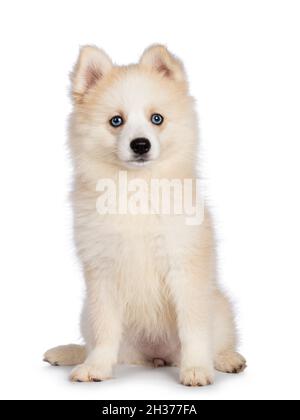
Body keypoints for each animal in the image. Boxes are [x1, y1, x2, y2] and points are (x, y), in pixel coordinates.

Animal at [44, 44, 246, 386]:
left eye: (157, 119)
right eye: (116, 121)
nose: (140, 144)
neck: (136, 188)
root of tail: (157, 355)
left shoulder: (184, 266)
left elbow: (193, 327)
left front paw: (196, 368)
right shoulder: (102, 273)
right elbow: (105, 329)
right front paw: (96, 367)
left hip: (219, 307)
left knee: (218, 339)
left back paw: (226, 359)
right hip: (89, 316)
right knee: (95, 343)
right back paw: (73, 354)